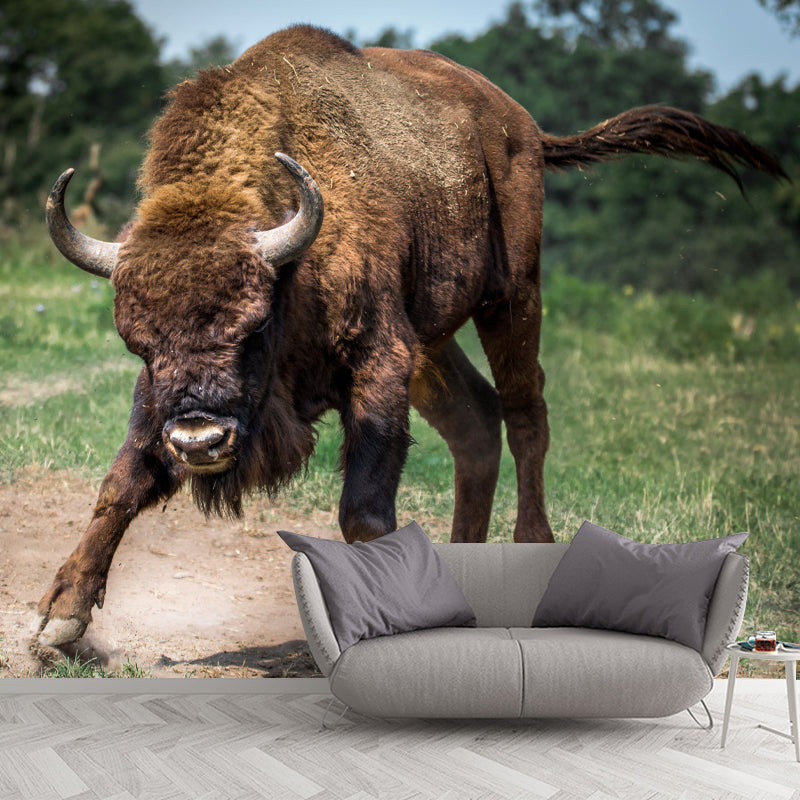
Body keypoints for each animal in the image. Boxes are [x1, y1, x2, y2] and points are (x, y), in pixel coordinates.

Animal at [35, 25, 784, 652]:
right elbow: (123, 481)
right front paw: (58, 622)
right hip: (433, 340)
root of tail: (522, 127)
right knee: (475, 422)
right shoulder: (164, 400)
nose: (199, 441)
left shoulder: (379, 362)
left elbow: (364, 511)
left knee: (525, 415)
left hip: (512, 296)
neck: (292, 258)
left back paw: (530, 543)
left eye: (253, 325)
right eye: (138, 342)